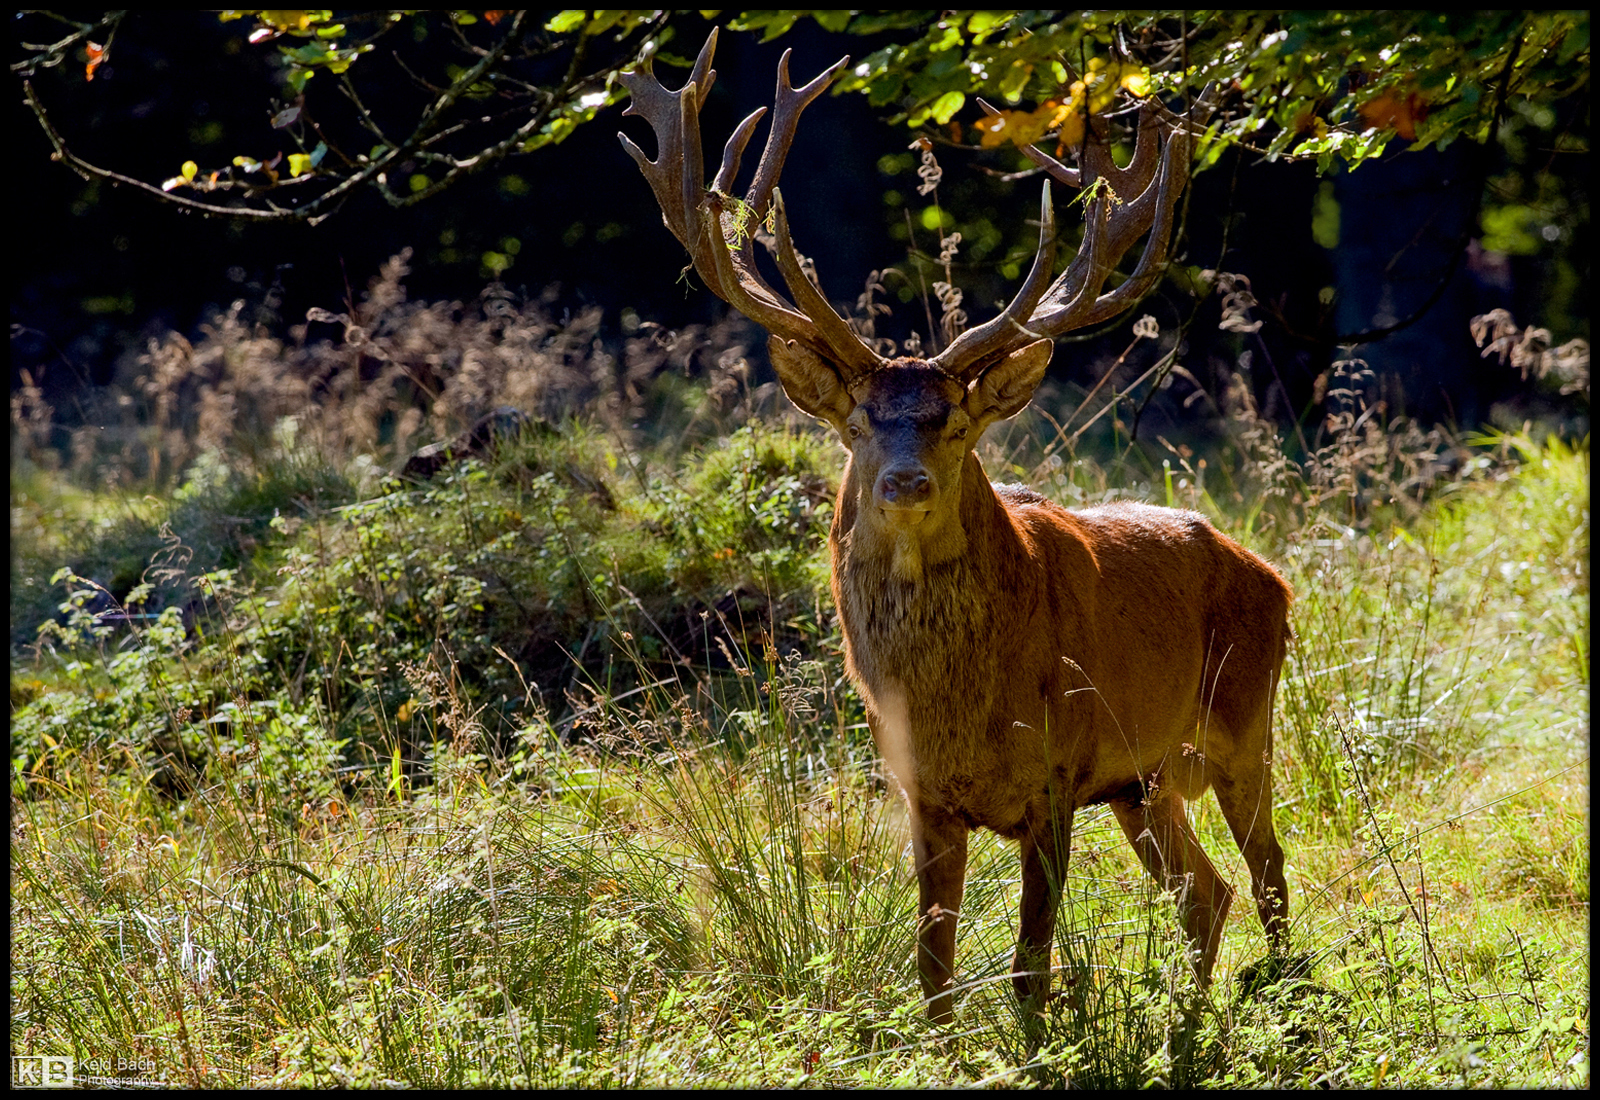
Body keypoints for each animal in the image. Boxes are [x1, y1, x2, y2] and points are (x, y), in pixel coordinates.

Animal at [620, 30, 1293, 1024]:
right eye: (861, 421)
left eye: (956, 423)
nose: (904, 480)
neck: (957, 707)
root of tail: (1271, 575)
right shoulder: (922, 795)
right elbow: (931, 964)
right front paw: (936, 1044)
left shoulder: (1056, 776)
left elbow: (1029, 967)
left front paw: (1038, 1043)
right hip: (1143, 781)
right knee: (1205, 894)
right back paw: (1188, 1023)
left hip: (1245, 716)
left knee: (1271, 872)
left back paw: (1286, 1005)